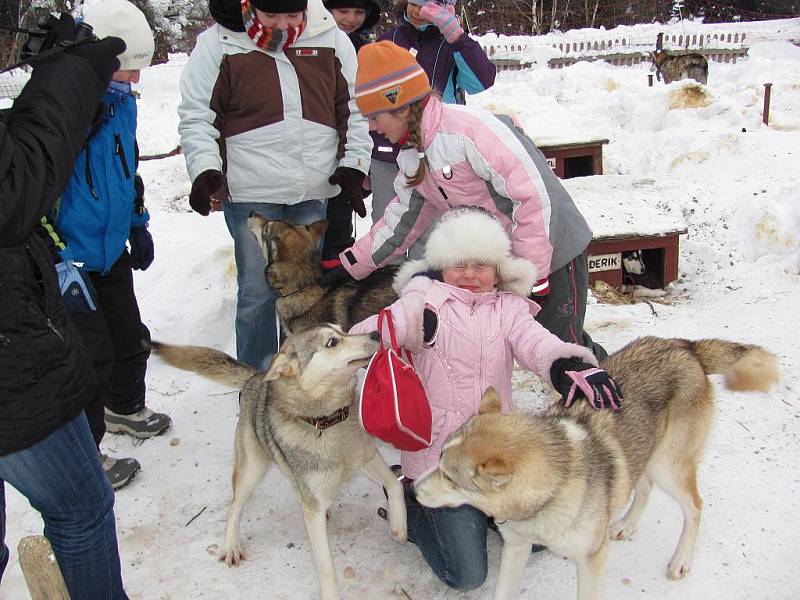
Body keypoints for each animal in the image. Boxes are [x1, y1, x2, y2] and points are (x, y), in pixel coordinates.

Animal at [152, 326, 406, 596]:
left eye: (342, 330)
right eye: (332, 342)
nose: (375, 333)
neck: (327, 422)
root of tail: (255, 378)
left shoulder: (367, 456)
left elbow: (395, 485)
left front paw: (399, 526)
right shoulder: (314, 507)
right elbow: (326, 566)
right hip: (251, 470)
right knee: (235, 506)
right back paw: (231, 545)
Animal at [416, 338, 780, 600]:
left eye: (450, 478)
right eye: (438, 460)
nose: (414, 489)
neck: (546, 498)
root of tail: (684, 346)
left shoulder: (591, 560)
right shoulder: (516, 549)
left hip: (668, 468)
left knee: (695, 507)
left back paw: (681, 561)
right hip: (643, 457)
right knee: (642, 488)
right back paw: (625, 526)